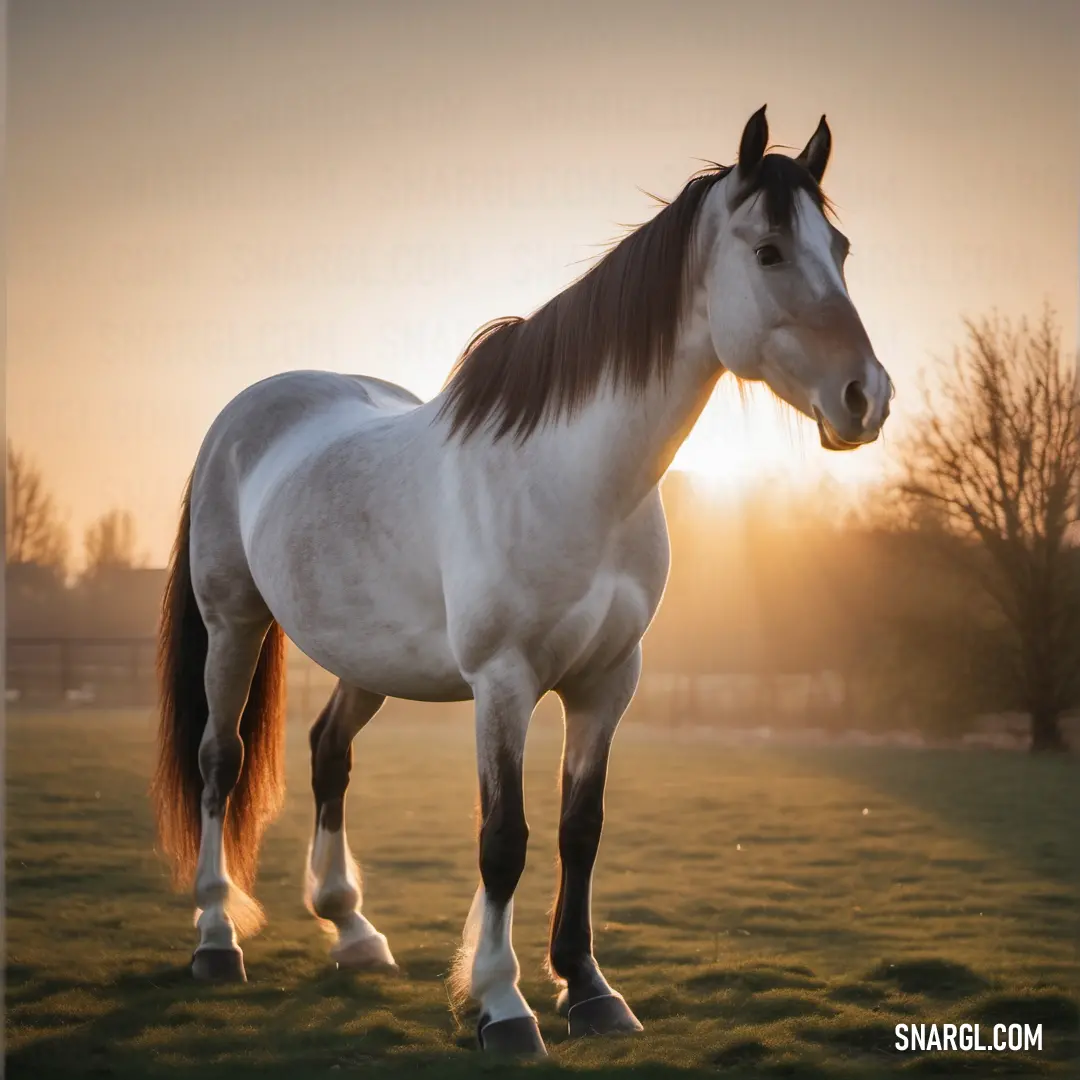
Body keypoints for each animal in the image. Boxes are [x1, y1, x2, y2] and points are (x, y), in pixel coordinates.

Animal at [154, 109, 894, 1054]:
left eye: (838, 248)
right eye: (768, 251)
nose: (866, 396)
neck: (573, 477)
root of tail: (249, 412)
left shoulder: (608, 682)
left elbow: (581, 828)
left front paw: (589, 989)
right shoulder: (503, 683)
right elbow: (504, 837)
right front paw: (503, 1005)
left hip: (368, 658)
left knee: (327, 753)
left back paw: (353, 930)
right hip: (234, 624)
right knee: (221, 759)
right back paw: (217, 937)